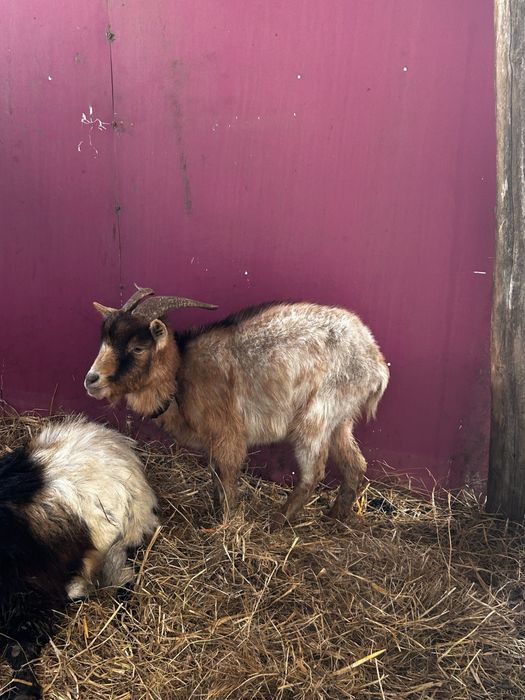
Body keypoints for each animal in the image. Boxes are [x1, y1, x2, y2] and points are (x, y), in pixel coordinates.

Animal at [85, 286, 389, 528]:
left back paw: (278, 521)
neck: (181, 374)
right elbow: (215, 478)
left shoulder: (228, 435)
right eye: (105, 341)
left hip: (317, 415)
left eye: (137, 348)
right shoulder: (213, 441)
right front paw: (214, 512)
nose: (91, 380)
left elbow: (227, 479)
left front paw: (225, 523)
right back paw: (336, 517)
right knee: (355, 464)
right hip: (340, 419)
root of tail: (375, 362)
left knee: (313, 472)